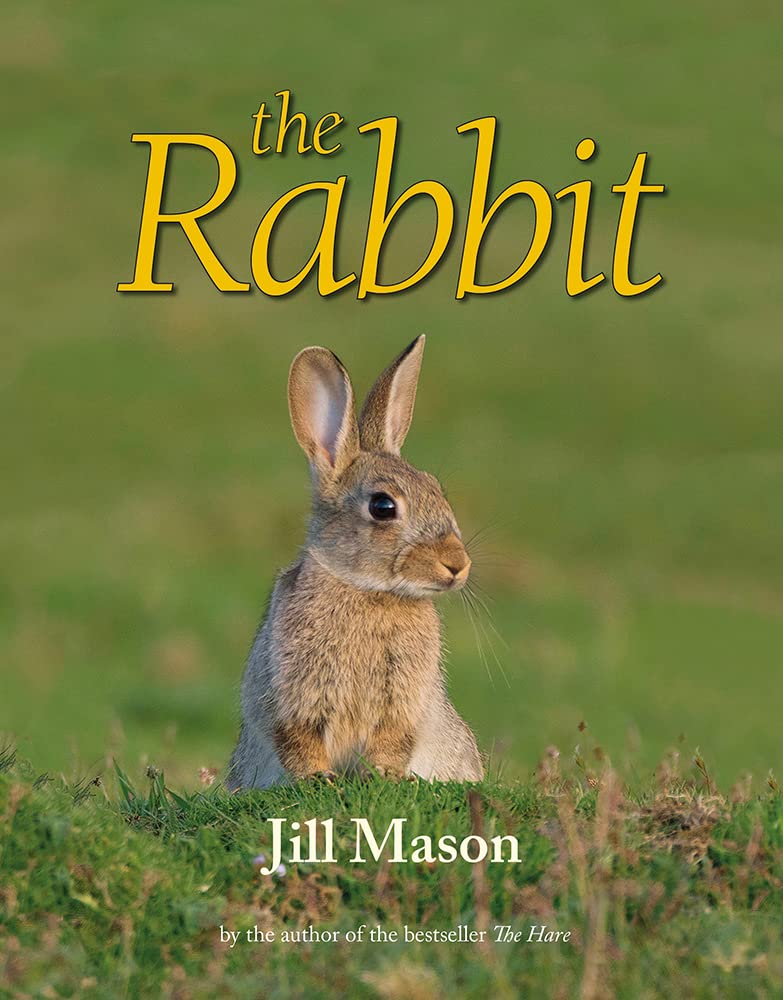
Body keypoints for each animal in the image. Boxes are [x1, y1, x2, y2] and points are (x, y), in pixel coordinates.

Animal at [226, 335, 484, 789]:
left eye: (436, 489)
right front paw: (318, 778)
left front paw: (383, 776)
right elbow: (298, 741)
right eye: (383, 506)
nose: (457, 565)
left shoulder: (403, 702)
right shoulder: (288, 695)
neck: (366, 590)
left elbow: (391, 740)